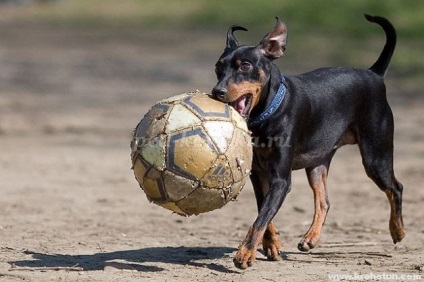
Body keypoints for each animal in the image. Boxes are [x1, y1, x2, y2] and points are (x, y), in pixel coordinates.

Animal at [210, 14, 406, 268]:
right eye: (218, 67)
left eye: (245, 66)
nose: (217, 91)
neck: (268, 113)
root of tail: (374, 74)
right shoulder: (258, 174)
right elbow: (263, 211)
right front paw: (271, 245)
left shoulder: (281, 180)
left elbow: (261, 217)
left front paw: (245, 253)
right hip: (317, 164)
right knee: (324, 201)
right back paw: (310, 238)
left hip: (376, 157)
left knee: (396, 188)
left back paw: (398, 231)